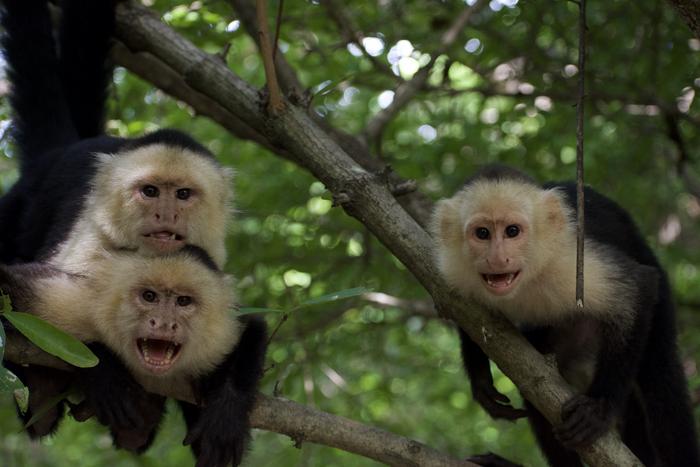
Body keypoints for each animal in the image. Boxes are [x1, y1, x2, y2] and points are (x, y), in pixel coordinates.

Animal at [0, 245, 268, 466]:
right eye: (149, 296)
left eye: (183, 301)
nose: (163, 323)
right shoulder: (79, 303)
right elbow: (10, 285)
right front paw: (105, 372)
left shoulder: (218, 334)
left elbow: (253, 326)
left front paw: (226, 413)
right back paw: (43, 387)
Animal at [432, 165, 699, 467]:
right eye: (482, 233)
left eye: (512, 231)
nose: (498, 258)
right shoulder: (455, 269)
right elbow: (465, 314)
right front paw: (480, 380)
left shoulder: (569, 259)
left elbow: (639, 287)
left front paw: (599, 407)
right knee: (533, 379)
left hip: (660, 300)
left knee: (661, 380)